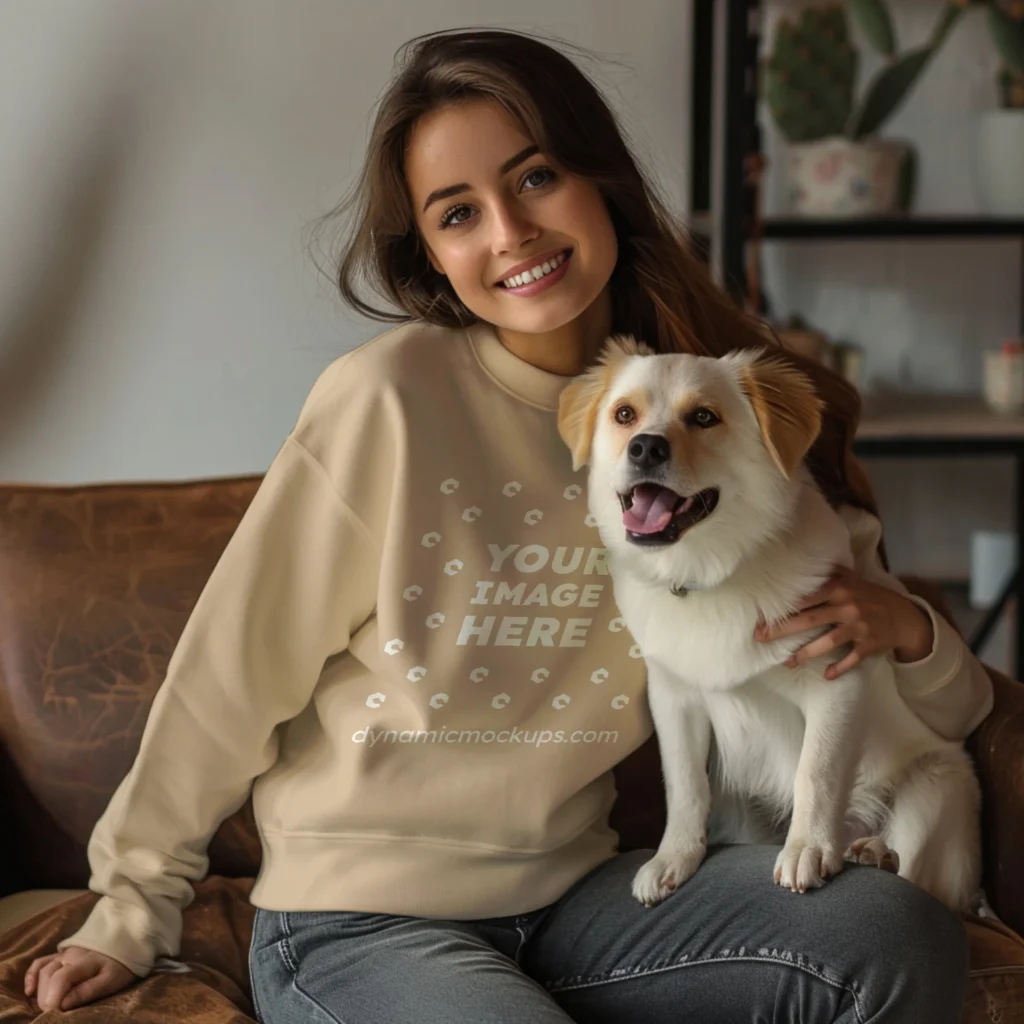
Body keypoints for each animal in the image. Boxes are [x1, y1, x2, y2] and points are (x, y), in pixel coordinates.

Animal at [561, 335, 983, 913]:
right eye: (624, 414)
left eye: (704, 417)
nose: (645, 447)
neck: (711, 573)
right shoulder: (674, 699)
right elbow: (685, 785)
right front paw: (674, 858)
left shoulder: (835, 680)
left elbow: (816, 773)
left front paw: (809, 848)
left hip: (934, 788)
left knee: (921, 875)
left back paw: (872, 852)